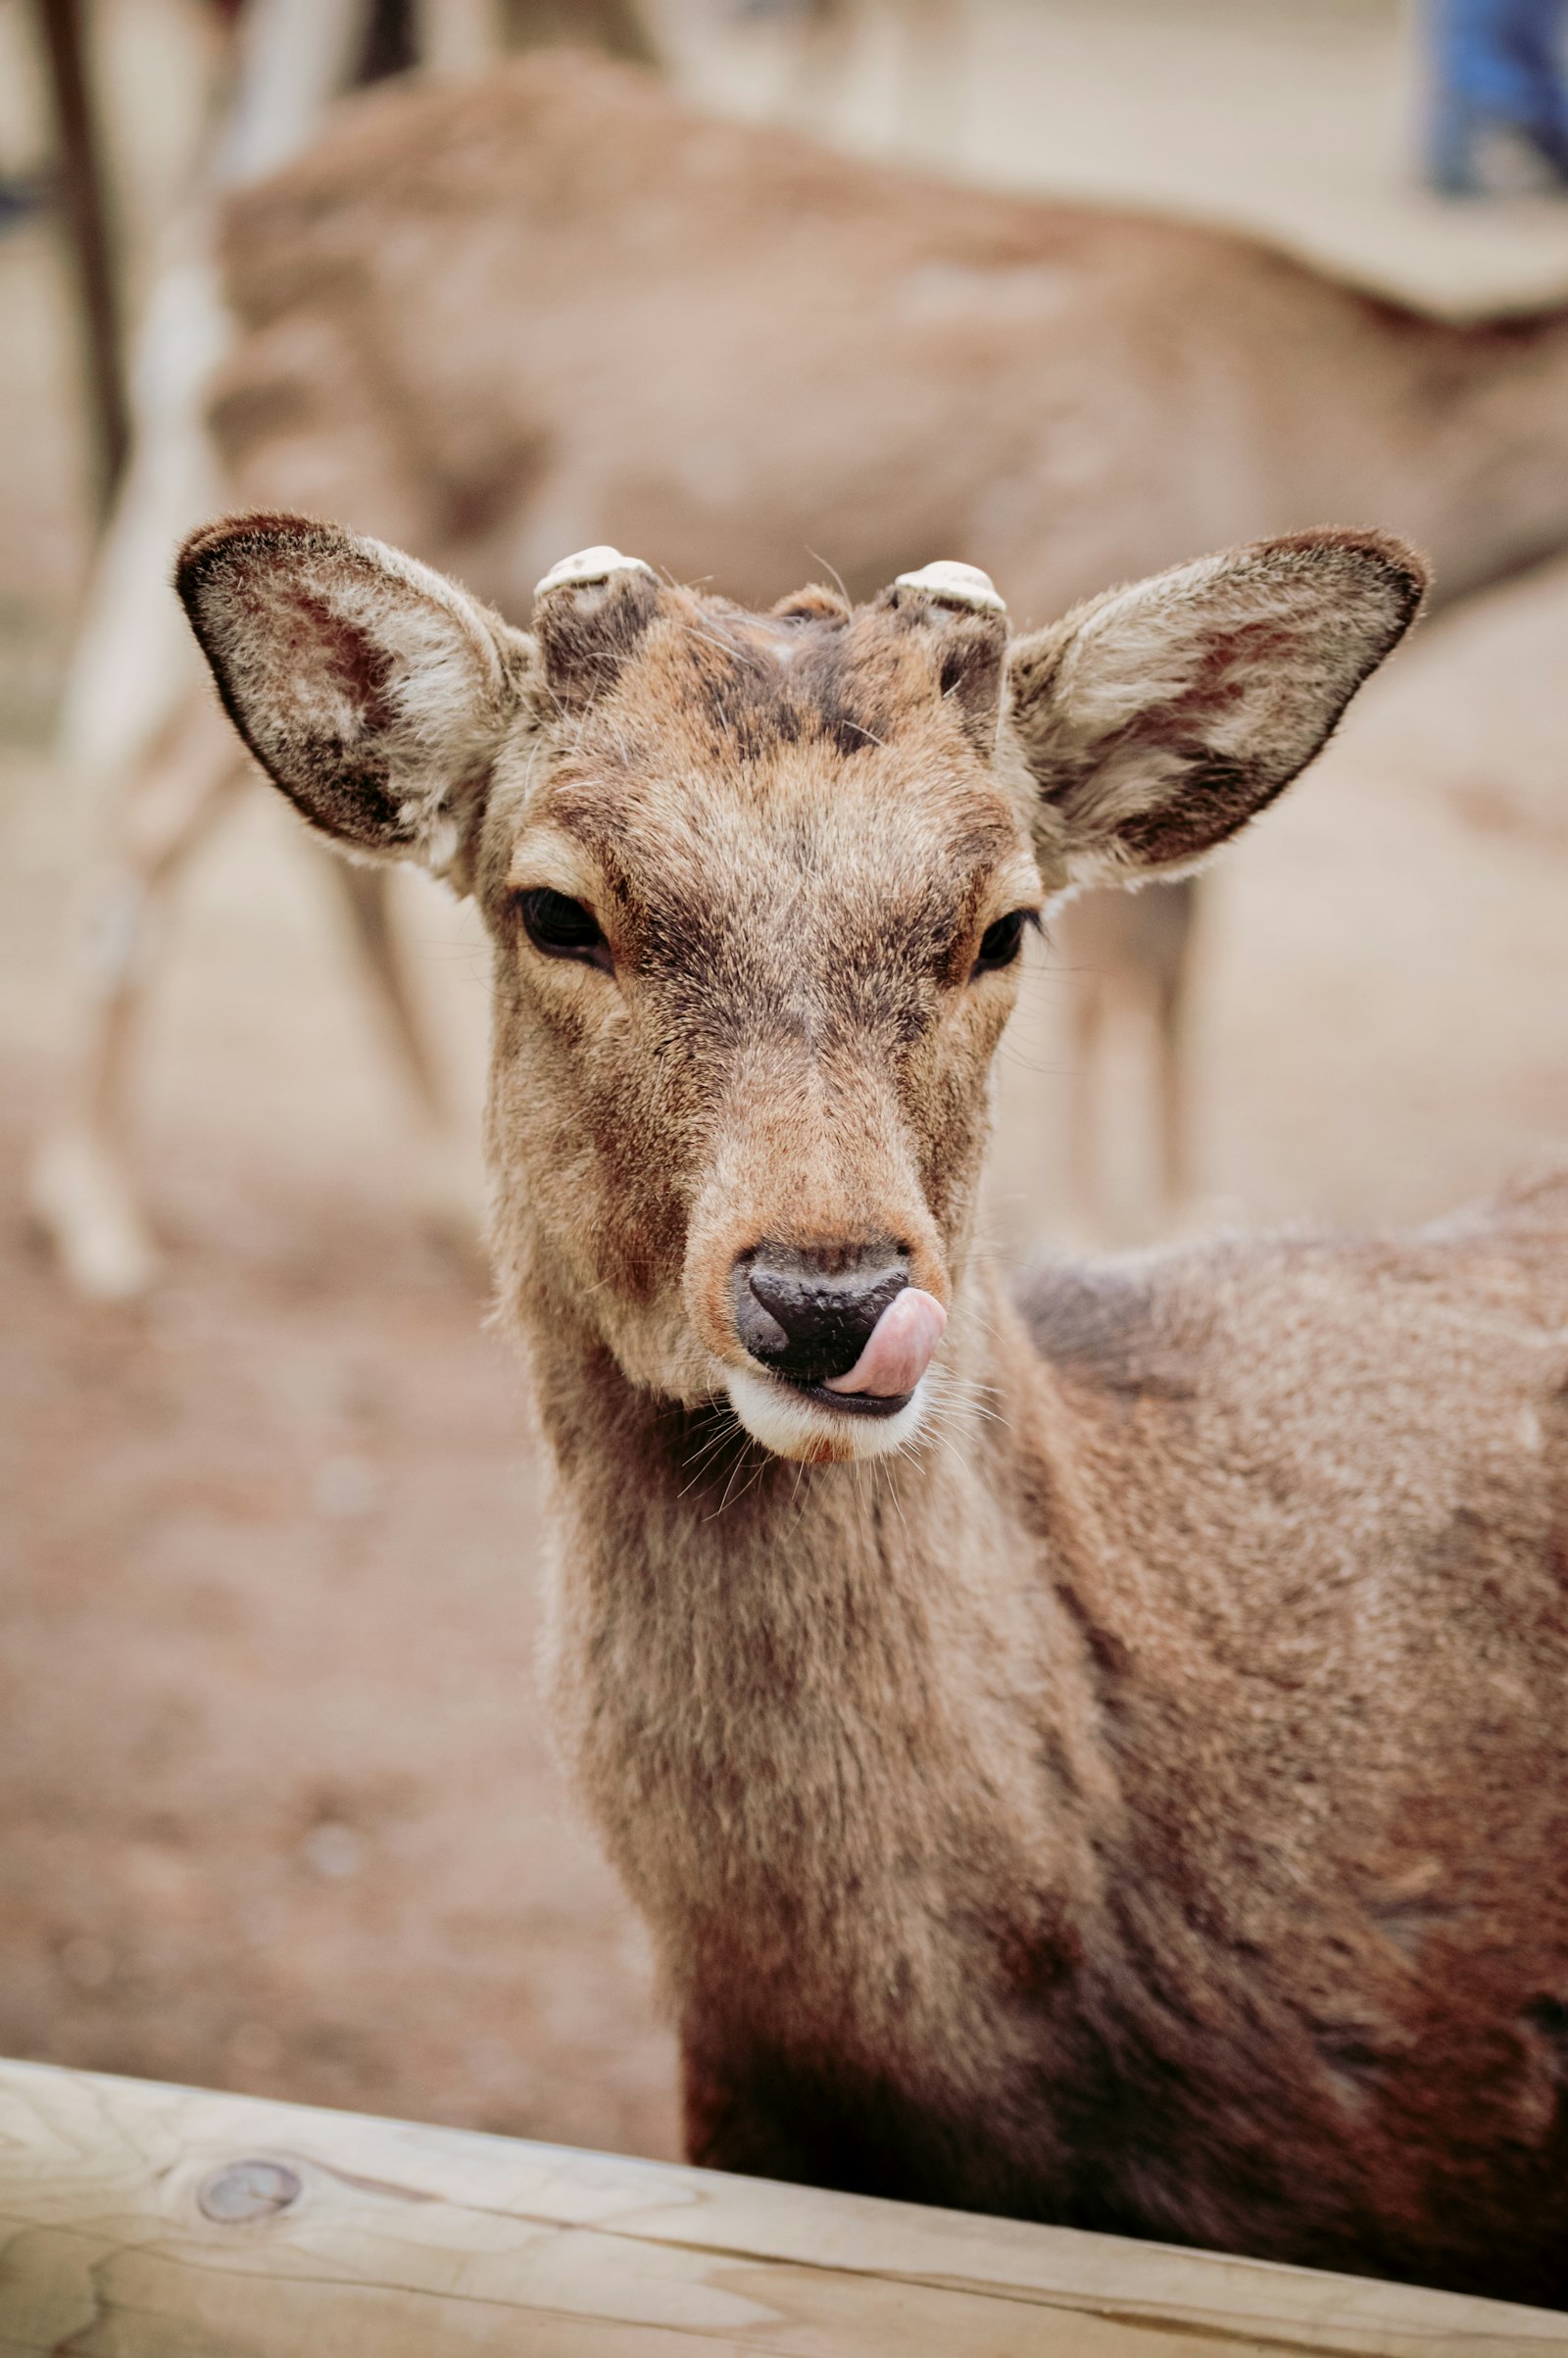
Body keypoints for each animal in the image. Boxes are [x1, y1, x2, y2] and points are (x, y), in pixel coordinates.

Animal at [33, 41, 1568, 1292]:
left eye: (997, 930)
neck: (1320, 417)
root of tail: (219, 235)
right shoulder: (1095, 531)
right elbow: (1143, 967)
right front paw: (1125, 1221)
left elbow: (1180, 956)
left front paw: (1193, 1210)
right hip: (346, 457)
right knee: (151, 805)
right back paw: (100, 1220)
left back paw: (412, 1196)